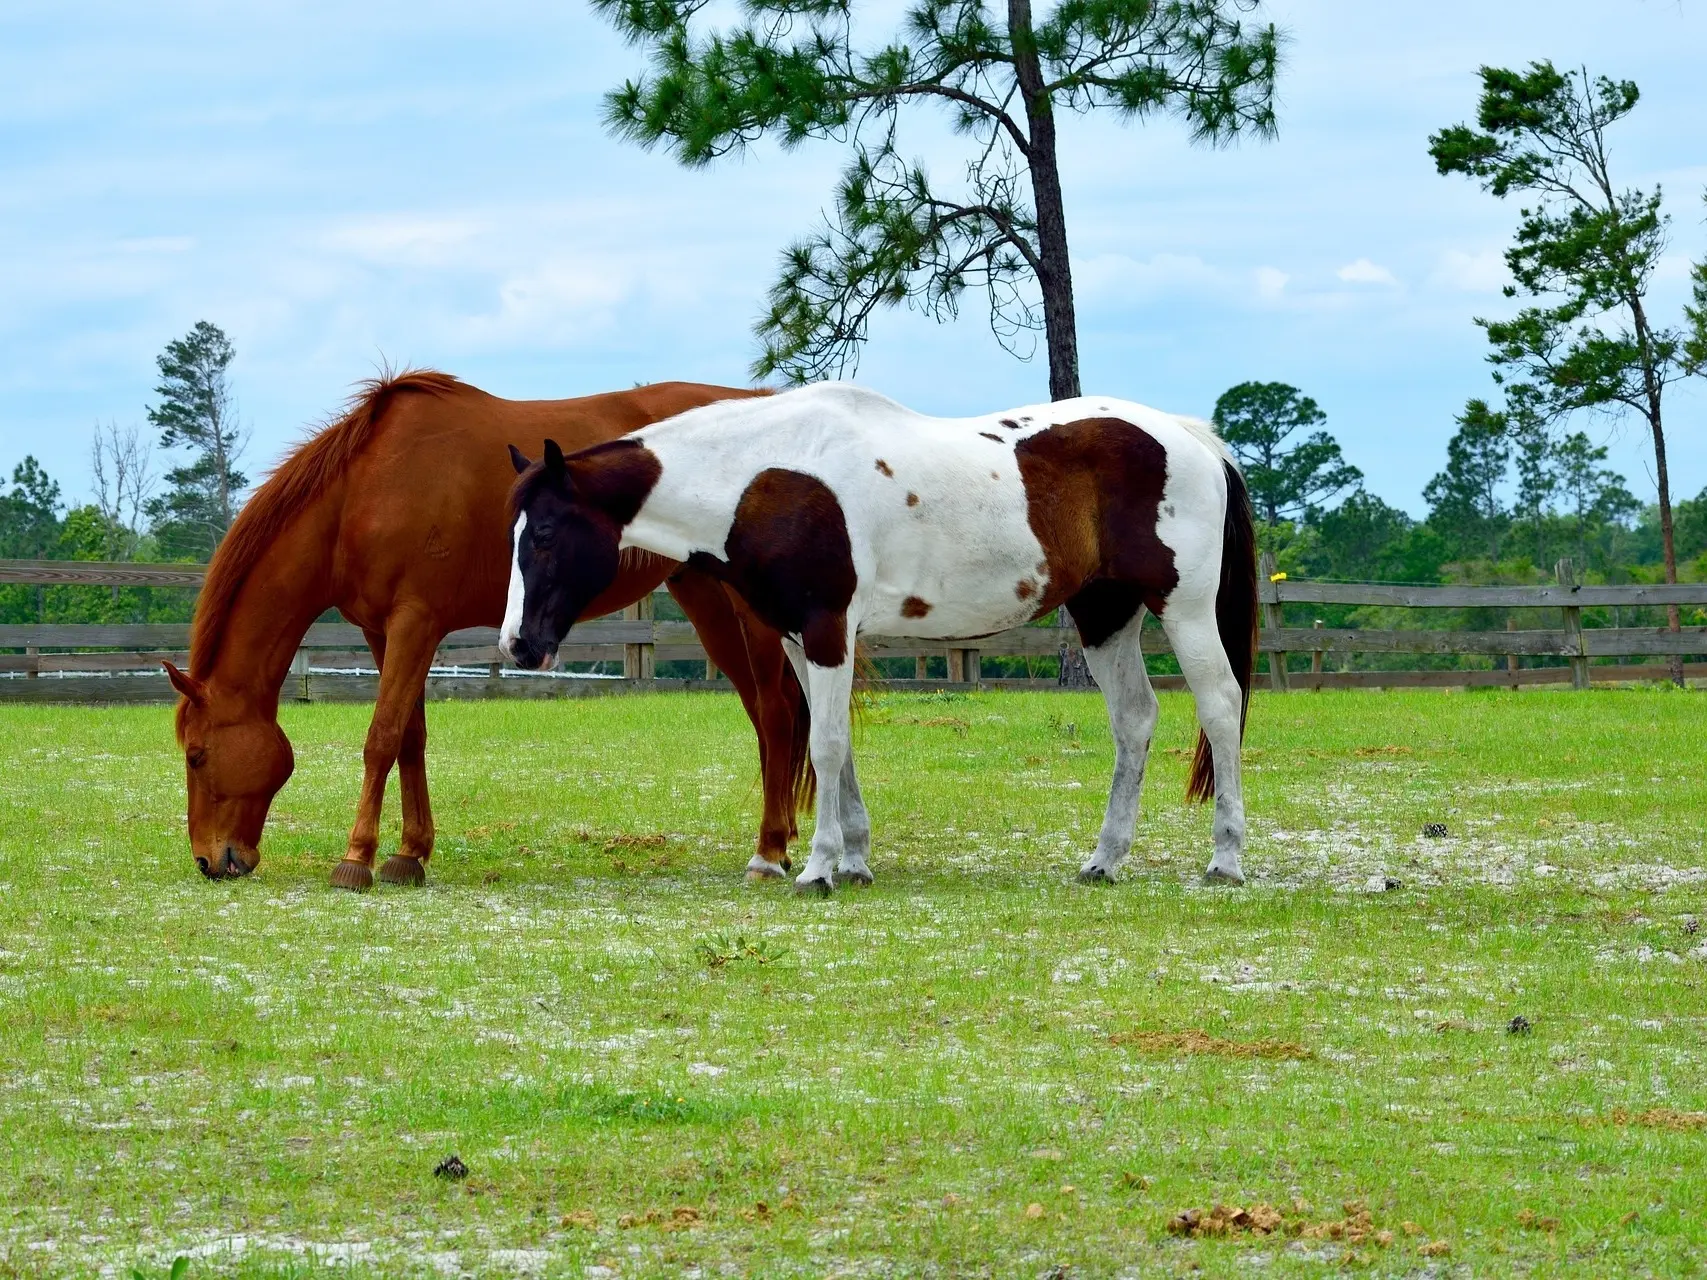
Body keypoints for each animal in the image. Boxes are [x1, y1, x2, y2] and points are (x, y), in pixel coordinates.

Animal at [166, 370, 812, 894]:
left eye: (196, 756)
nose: (207, 861)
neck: (364, 492)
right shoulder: (385, 632)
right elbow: (410, 737)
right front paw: (409, 854)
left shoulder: (415, 623)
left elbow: (380, 737)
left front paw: (357, 859)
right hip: (704, 599)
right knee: (765, 715)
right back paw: (780, 838)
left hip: (749, 611)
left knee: (777, 713)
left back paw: (771, 849)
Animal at [498, 380, 1263, 894]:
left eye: (545, 532)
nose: (517, 645)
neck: (768, 475)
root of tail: (1189, 438)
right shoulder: (801, 641)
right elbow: (832, 747)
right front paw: (856, 860)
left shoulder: (828, 632)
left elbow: (827, 745)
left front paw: (816, 869)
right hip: (1104, 615)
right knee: (1134, 720)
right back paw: (1104, 860)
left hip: (1184, 609)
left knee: (1220, 707)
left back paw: (1225, 859)